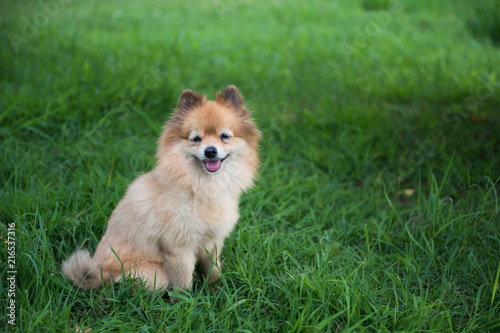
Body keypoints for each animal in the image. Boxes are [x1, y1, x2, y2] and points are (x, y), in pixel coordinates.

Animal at [62, 85, 262, 290]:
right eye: (196, 139)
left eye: (224, 137)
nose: (210, 151)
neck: (202, 186)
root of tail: (99, 273)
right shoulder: (179, 246)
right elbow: (183, 280)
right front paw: (187, 297)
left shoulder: (213, 240)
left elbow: (213, 267)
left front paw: (217, 287)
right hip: (155, 275)